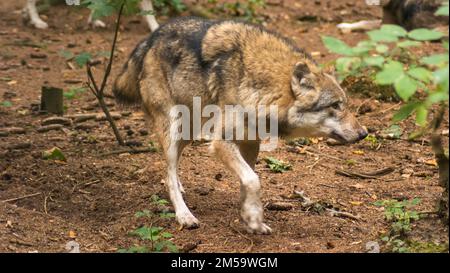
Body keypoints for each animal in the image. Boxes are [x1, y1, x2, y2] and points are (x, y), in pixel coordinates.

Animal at [113, 17, 370, 234]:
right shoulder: (221, 143)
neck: (260, 86)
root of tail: (151, 37)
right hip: (175, 129)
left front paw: (248, 216)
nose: (364, 133)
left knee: (171, 169)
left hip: (190, 131)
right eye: (335, 105)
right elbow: (253, 180)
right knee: (168, 169)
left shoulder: (250, 143)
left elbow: (249, 179)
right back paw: (185, 216)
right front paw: (254, 219)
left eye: (345, 104)